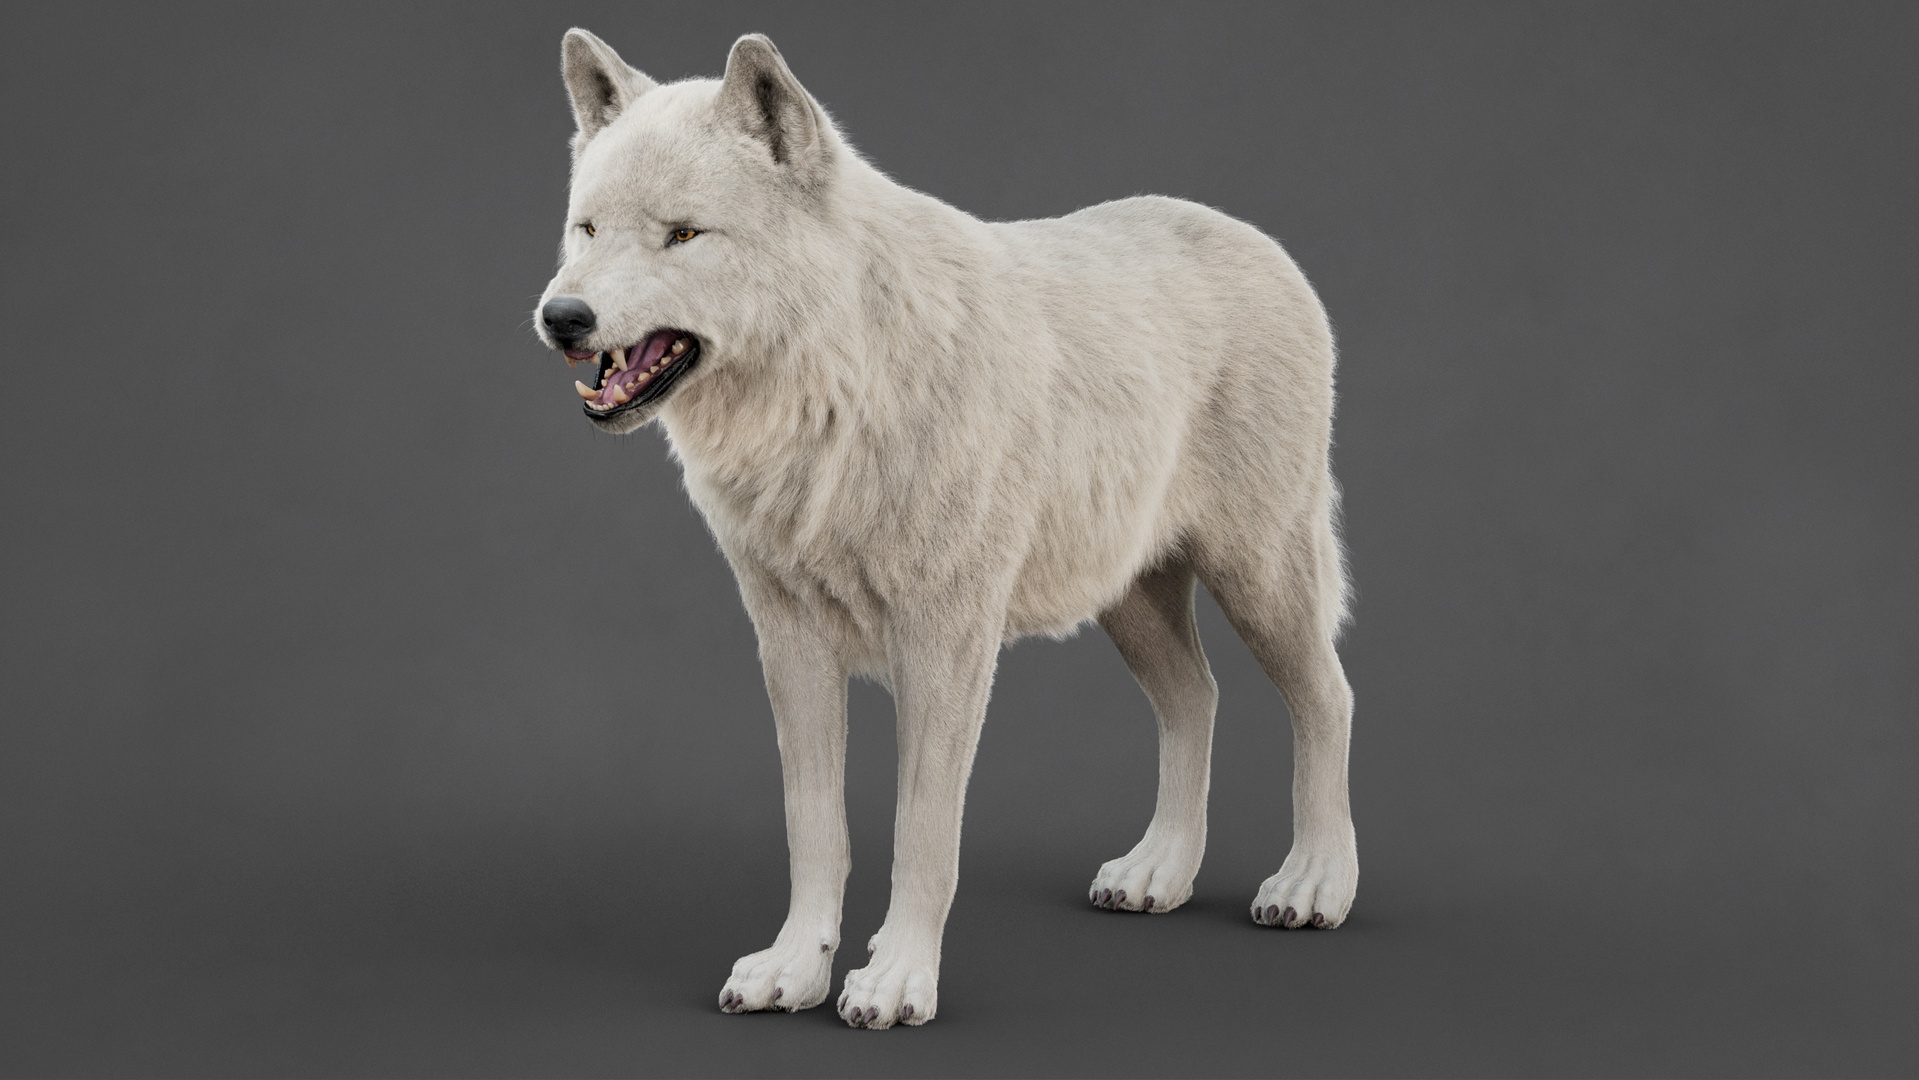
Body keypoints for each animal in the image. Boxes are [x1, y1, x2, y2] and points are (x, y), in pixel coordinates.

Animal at [534, 30, 1359, 1029]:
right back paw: (1157, 872)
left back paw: (1314, 884)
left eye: (683, 234)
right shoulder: (789, 642)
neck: (839, 391)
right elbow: (815, 828)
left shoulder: (945, 642)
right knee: (1195, 698)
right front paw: (793, 971)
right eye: (587, 230)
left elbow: (921, 832)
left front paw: (895, 981)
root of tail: (1262, 241)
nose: (560, 318)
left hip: (1259, 577)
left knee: (1327, 699)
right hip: (1129, 601)